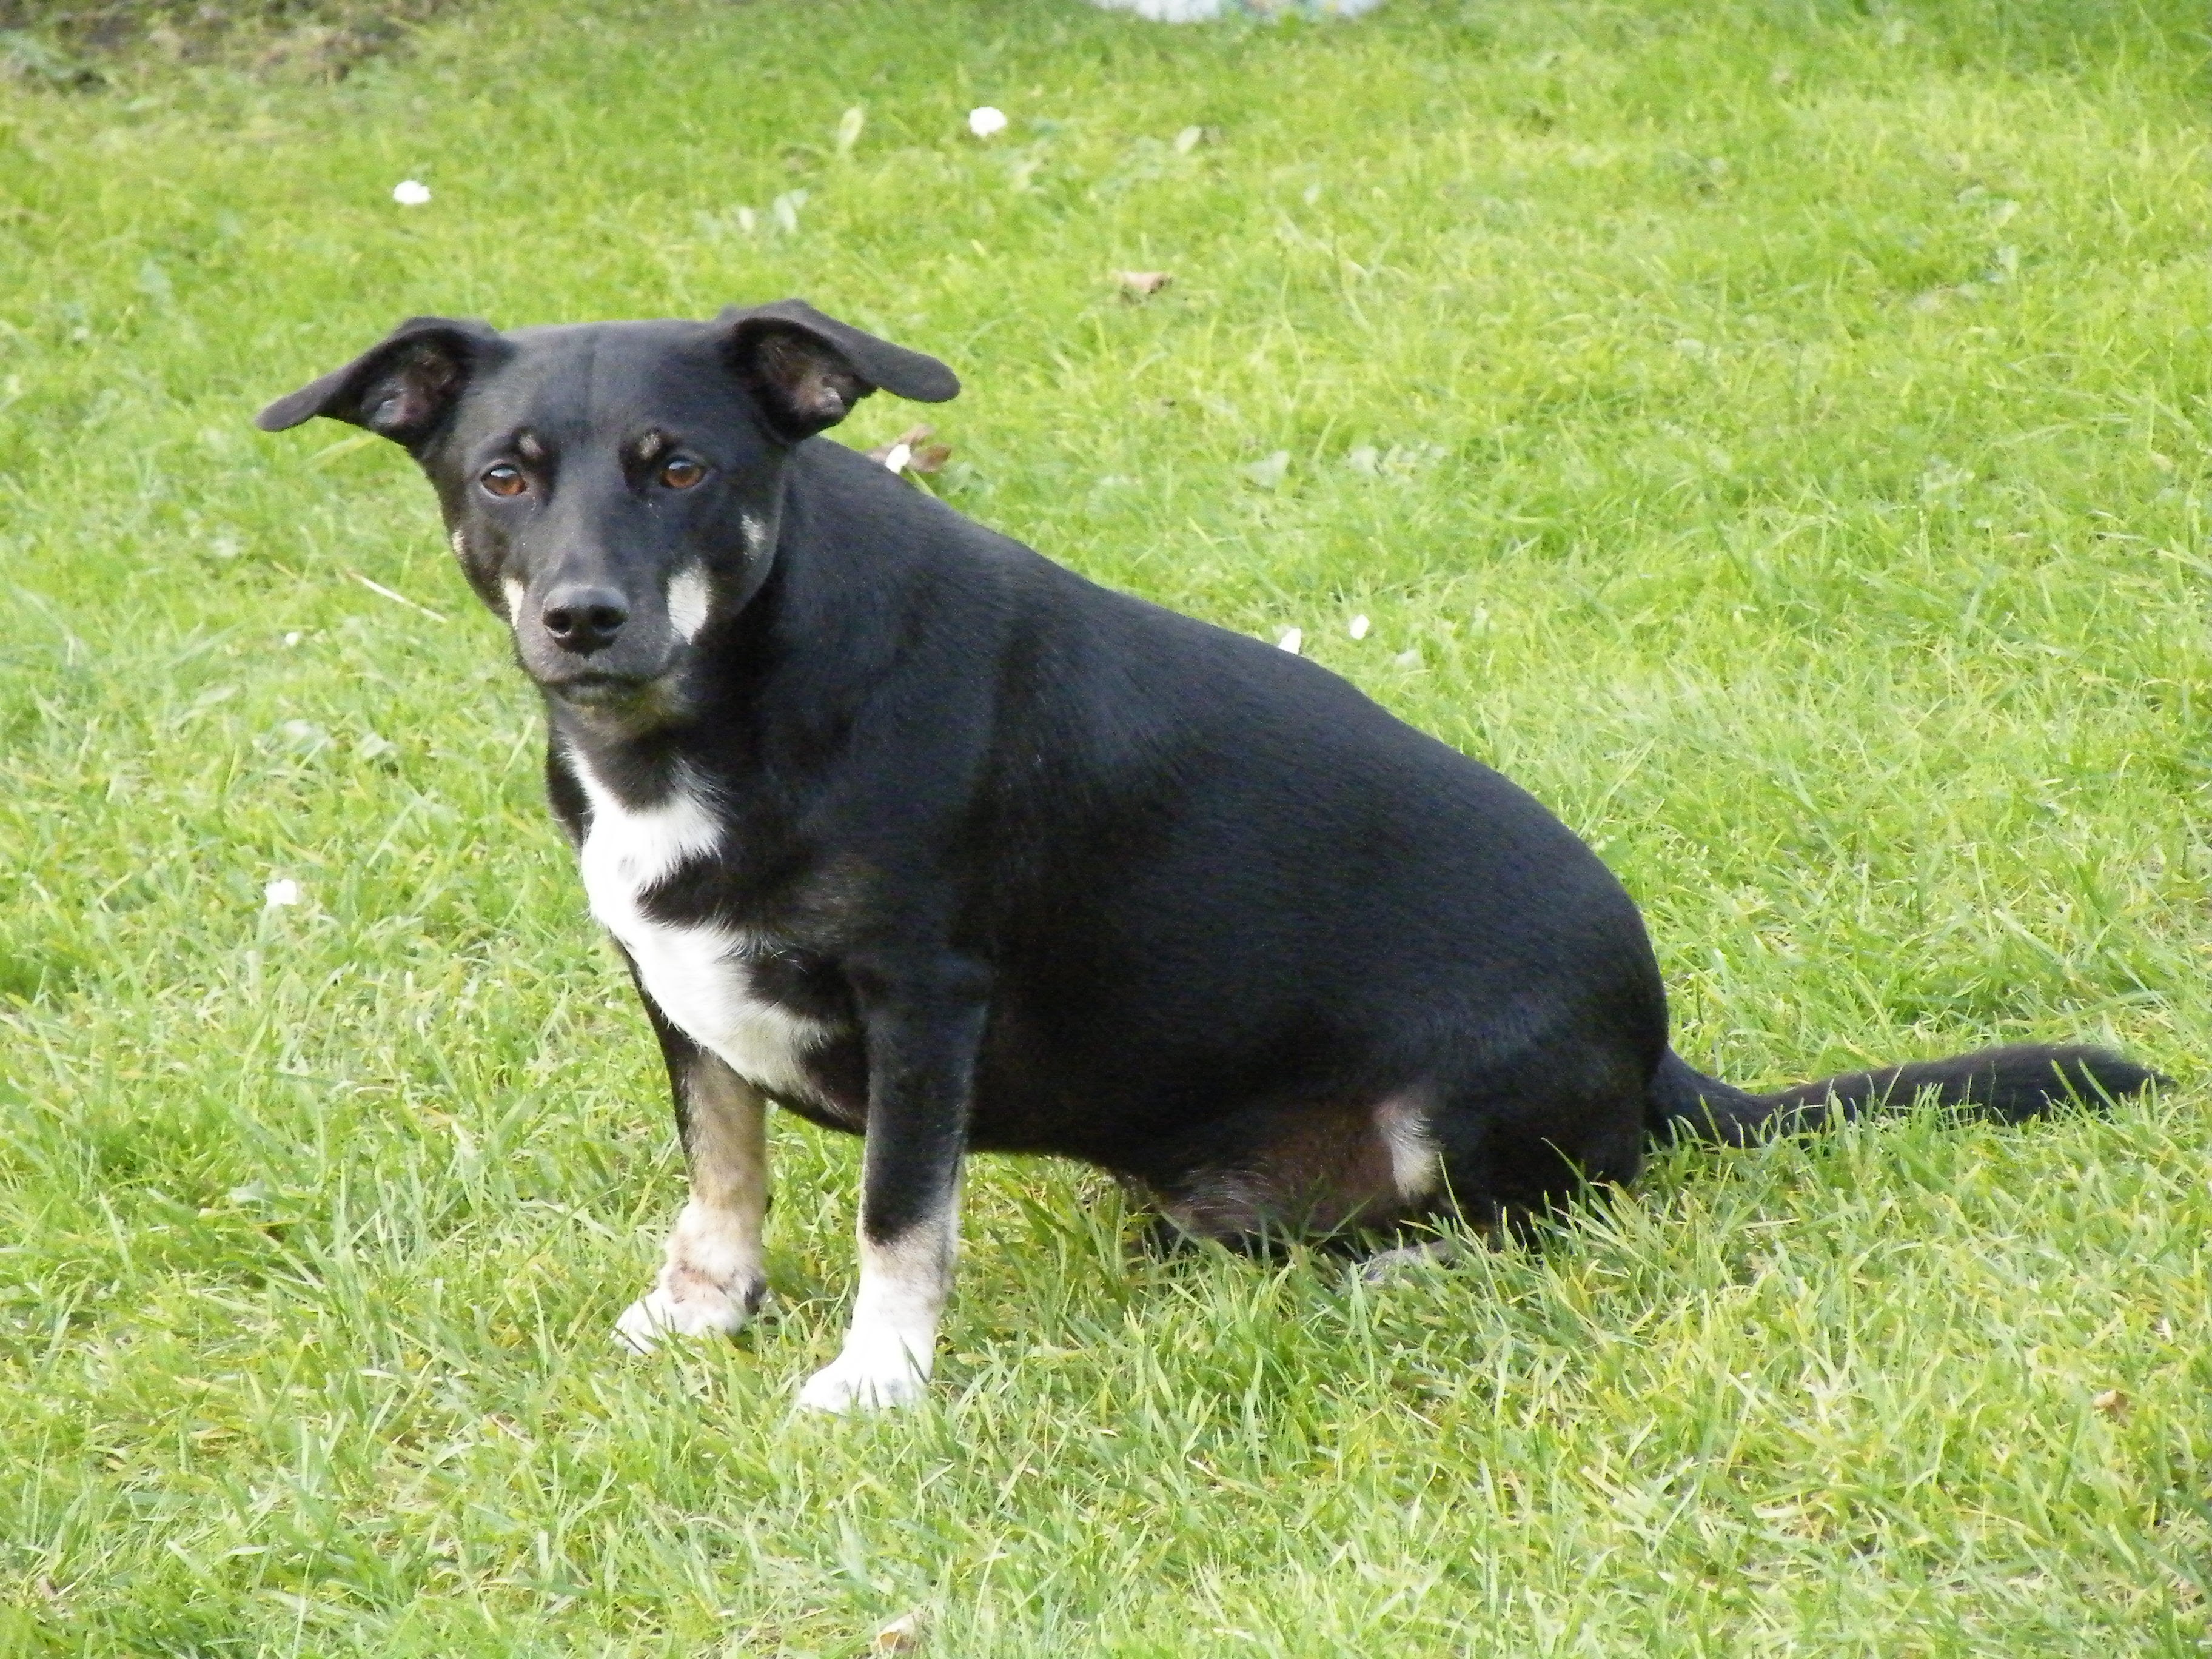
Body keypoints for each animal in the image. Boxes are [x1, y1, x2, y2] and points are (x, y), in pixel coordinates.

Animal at [257, 300, 2160, 1411]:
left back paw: (1411, 1264)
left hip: (1460, 1115)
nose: (583, 616)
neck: (717, 705)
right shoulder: (671, 982)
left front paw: (875, 1378)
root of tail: (1664, 1060)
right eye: (506, 475)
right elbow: (723, 1167)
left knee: (1553, 1213)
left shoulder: (925, 996)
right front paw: (706, 1310)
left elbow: (894, 1209)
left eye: (680, 467)